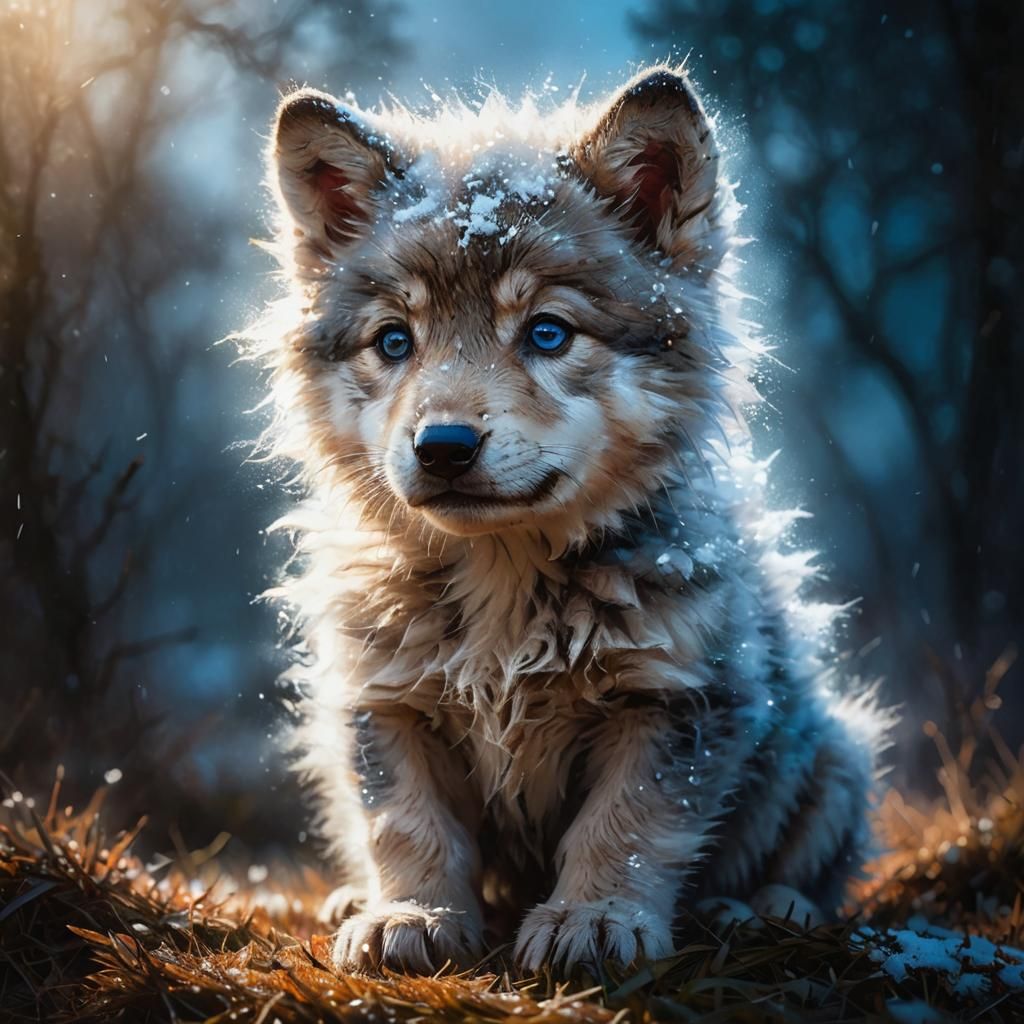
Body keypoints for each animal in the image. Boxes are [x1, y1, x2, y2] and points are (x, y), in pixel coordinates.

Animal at [251, 65, 888, 975]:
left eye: (548, 333)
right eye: (394, 342)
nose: (443, 446)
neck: (506, 582)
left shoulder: (677, 701)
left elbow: (627, 828)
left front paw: (595, 917)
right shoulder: (386, 703)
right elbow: (407, 826)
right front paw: (409, 914)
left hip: (837, 758)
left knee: (812, 869)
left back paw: (764, 910)